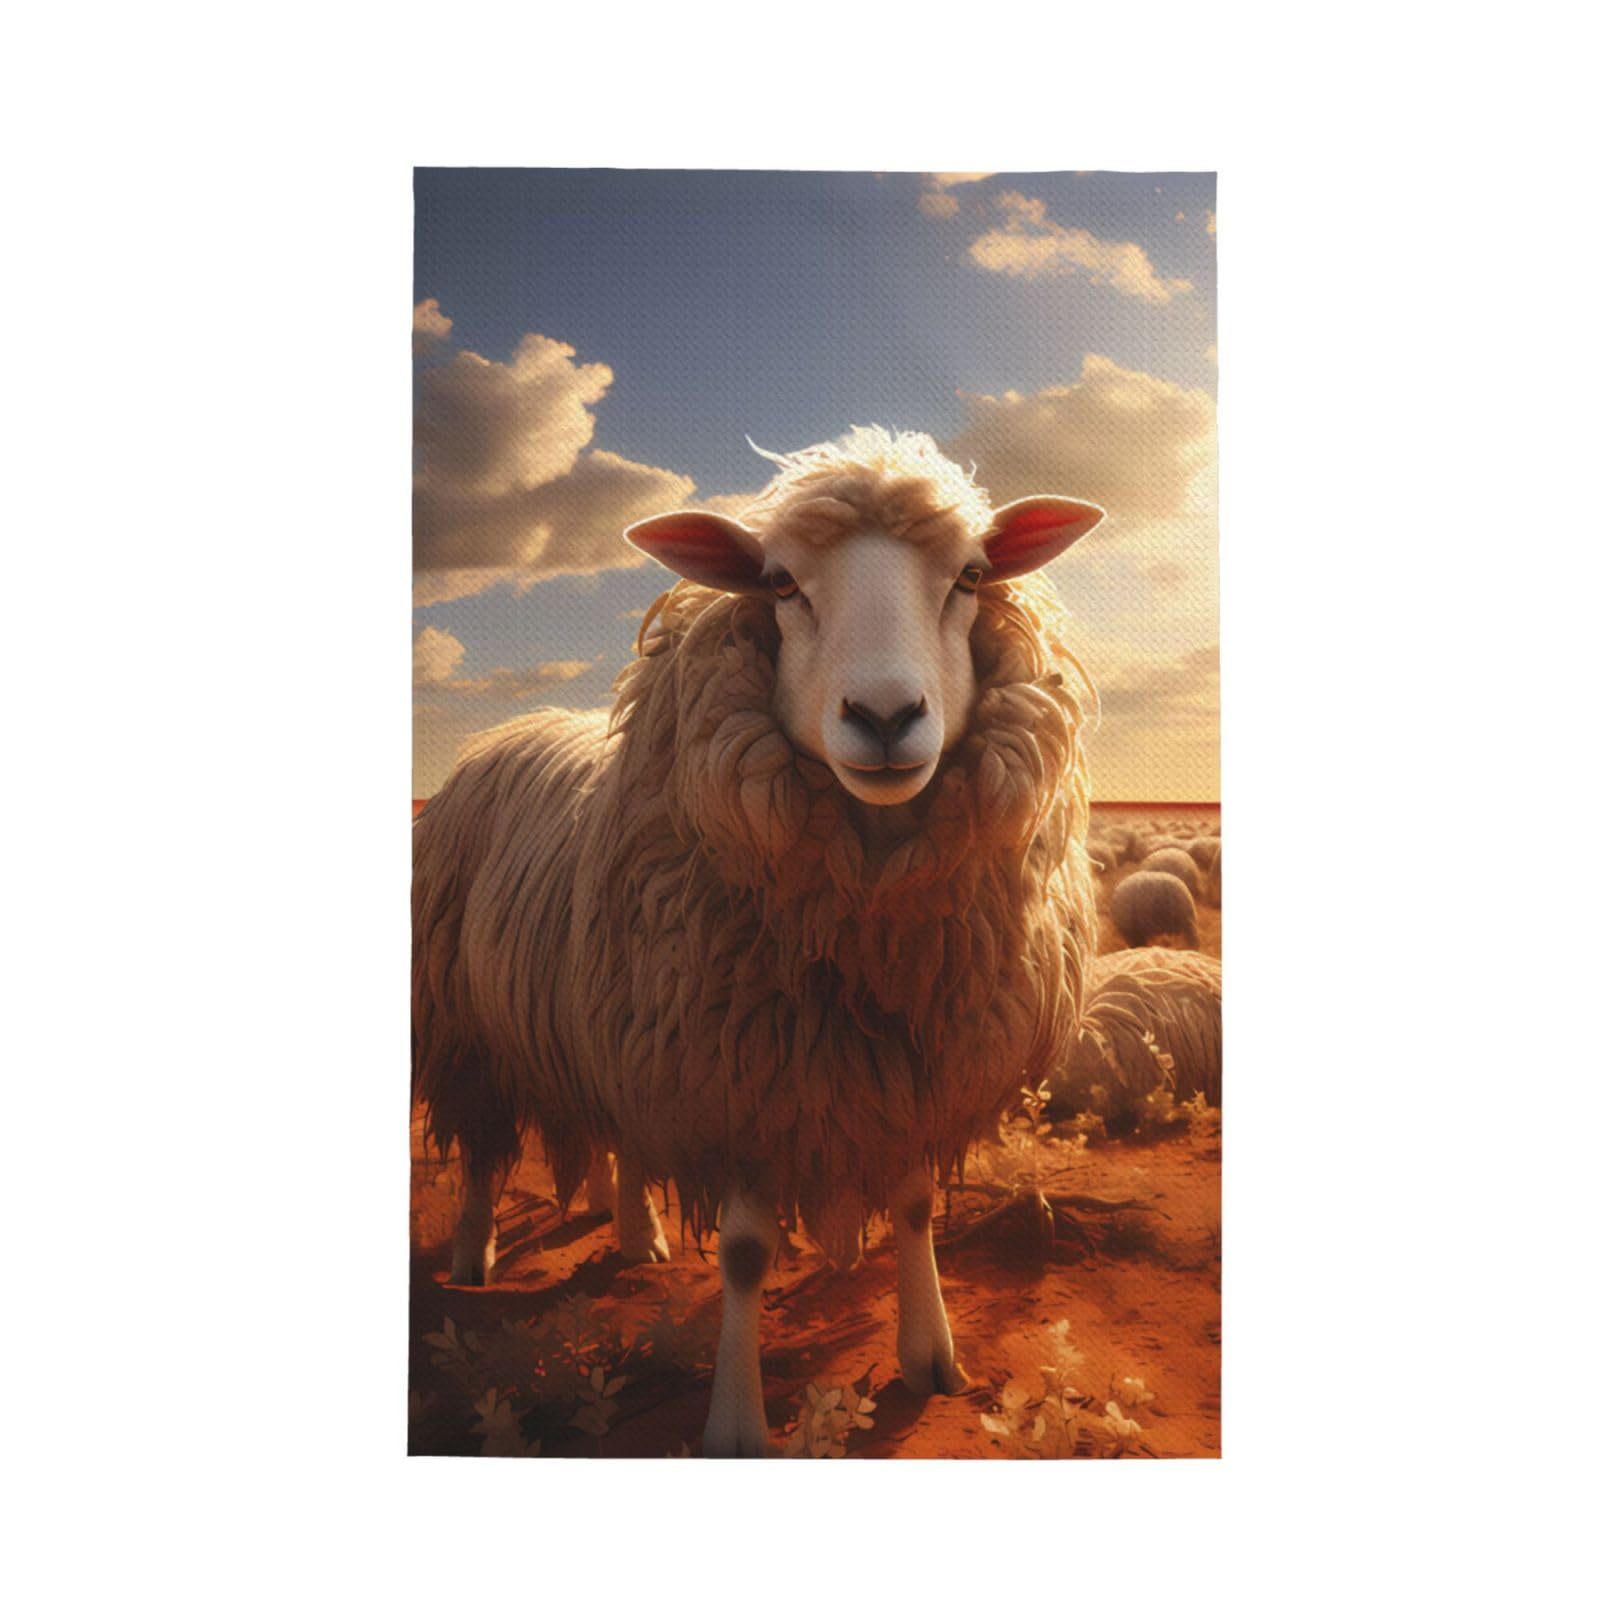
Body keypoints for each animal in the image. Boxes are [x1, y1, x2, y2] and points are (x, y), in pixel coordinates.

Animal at [412, 427, 1104, 1455]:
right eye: (779, 583)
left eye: (973, 574)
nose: (885, 718)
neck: (867, 923)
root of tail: (513, 727)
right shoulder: (736, 1073)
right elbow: (742, 1255)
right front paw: (735, 1424)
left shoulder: (906, 1069)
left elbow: (913, 1205)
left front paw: (931, 1359)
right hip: (475, 1028)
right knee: (484, 1150)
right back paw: (472, 1253)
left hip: (618, 1029)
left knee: (620, 1135)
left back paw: (638, 1233)